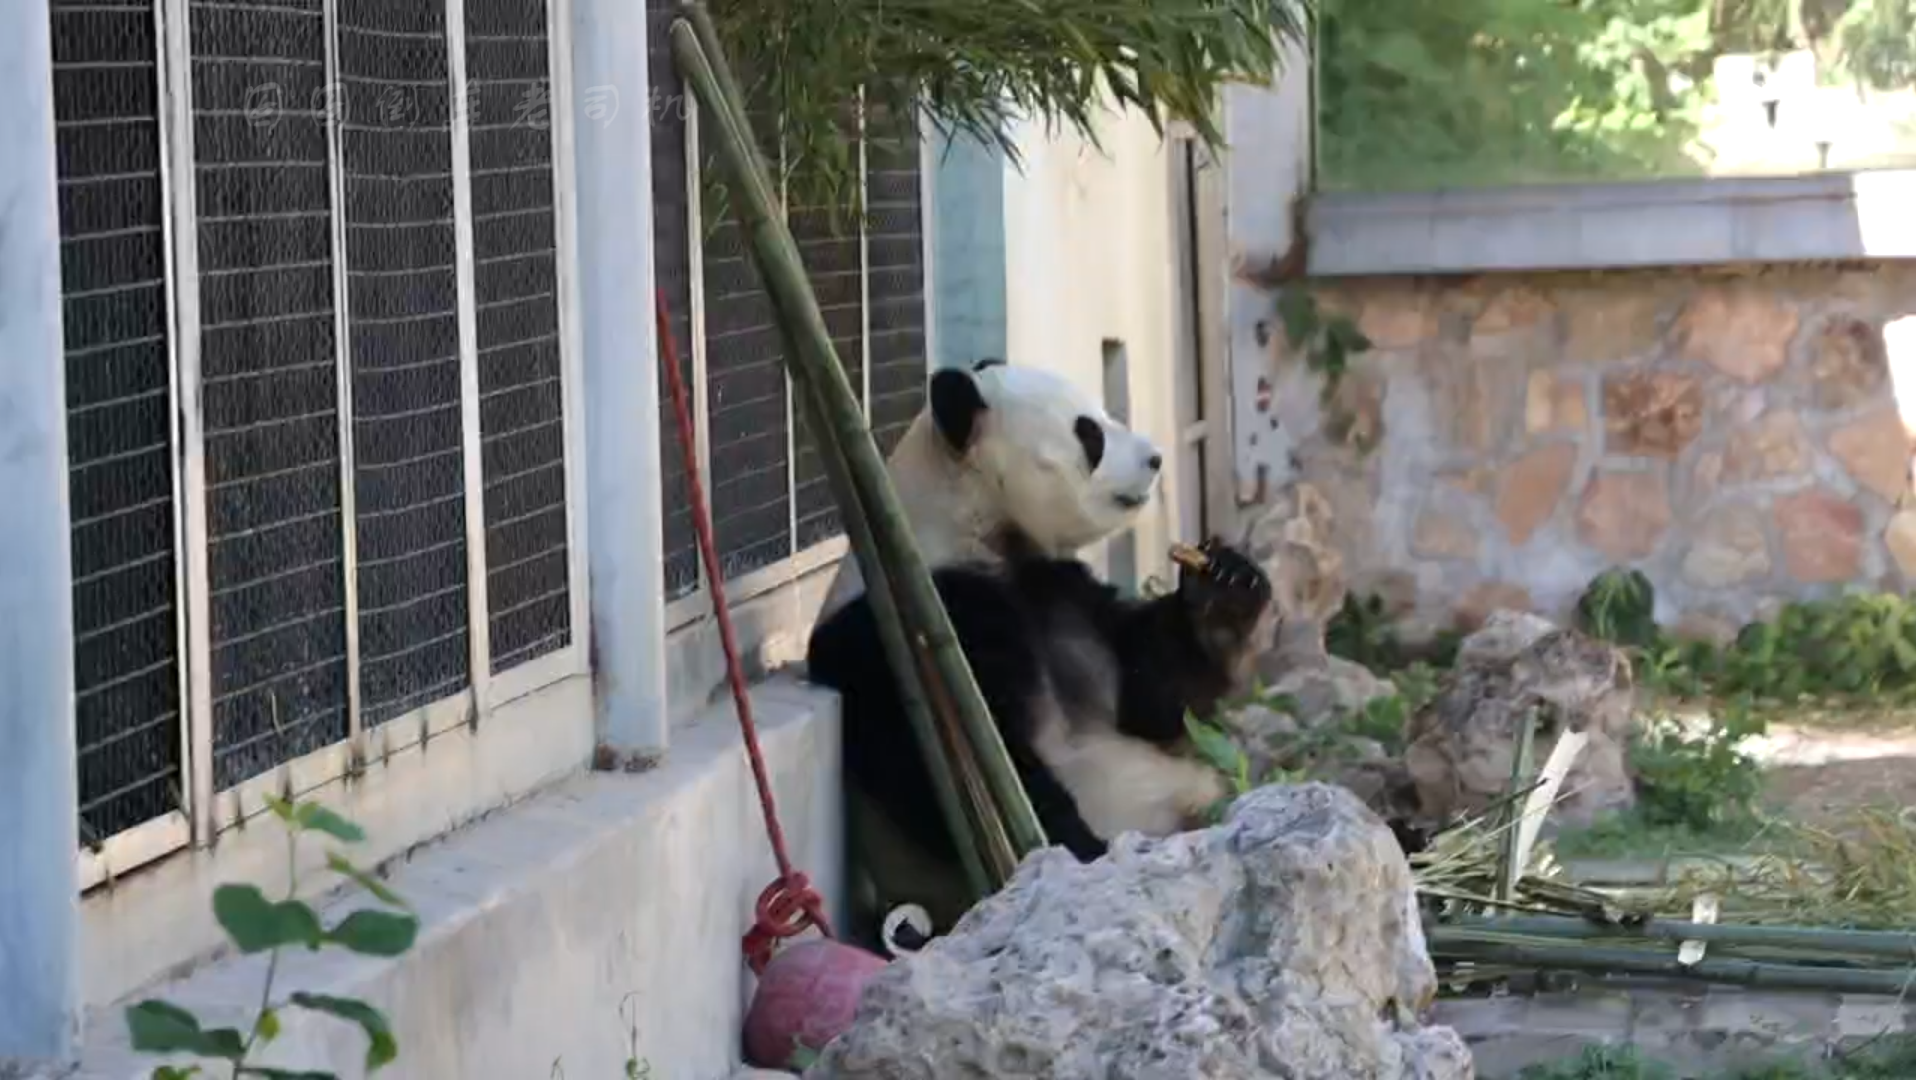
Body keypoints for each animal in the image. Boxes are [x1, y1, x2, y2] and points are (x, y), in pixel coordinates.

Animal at [800, 358, 1279, 949]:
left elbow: (1151, 697)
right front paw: (1079, 853)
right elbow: (939, 765)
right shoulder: (909, 626)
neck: (977, 529)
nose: (1155, 458)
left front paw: (1226, 589)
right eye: (1089, 433)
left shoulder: (1060, 590)